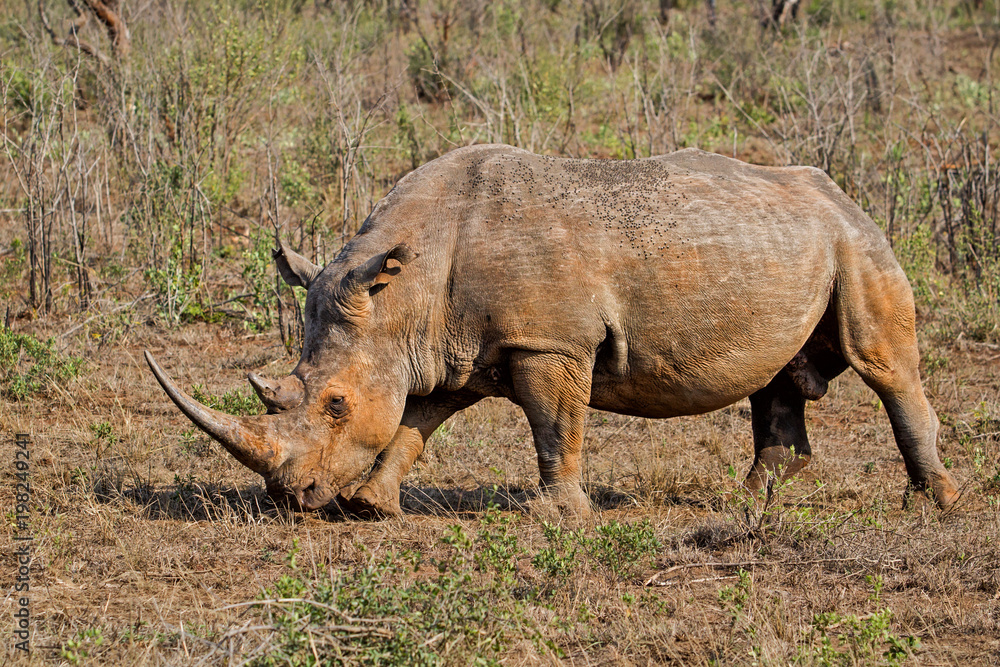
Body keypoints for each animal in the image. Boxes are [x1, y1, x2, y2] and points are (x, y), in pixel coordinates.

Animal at [146, 144, 960, 518]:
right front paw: (372, 506)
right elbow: (415, 421)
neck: (405, 289)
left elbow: (552, 424)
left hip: (858, 242)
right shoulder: (447, 346)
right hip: (794, 242)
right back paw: (757, 497)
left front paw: (554, 514)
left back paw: (932, 502)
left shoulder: (549, 341)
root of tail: (841, 193)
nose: (293, 496)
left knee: (885, 365)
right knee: (779, 374)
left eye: (336, 404)